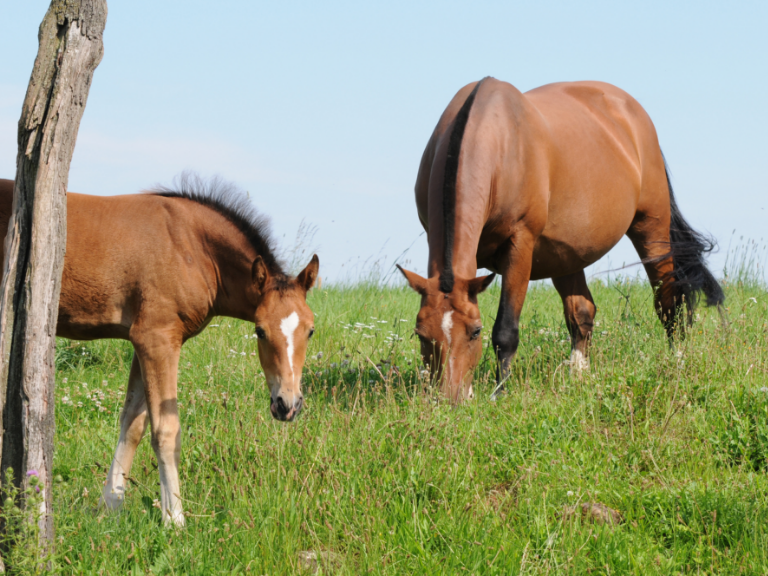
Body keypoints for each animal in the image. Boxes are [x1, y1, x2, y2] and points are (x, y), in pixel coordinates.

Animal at [0, 177, 318, 528]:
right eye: (260, 331)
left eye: (311, 330)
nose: (287, 404)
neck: (193, 247)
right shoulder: (157, 339)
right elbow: (166, 431)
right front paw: (174, 518)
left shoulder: (141, 342)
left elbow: (132, 424)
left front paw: (110, 505)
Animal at [400, 76, 724, 402]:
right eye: (421, 334)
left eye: (475, 331)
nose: (449, 400)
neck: (495, 138)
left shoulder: (520, 245)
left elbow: (505, 329)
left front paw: (499, 394)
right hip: (566, 254)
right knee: (582, 314)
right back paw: (577, 376)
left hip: (652, 229)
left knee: (669, 301)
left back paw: (677, 363)